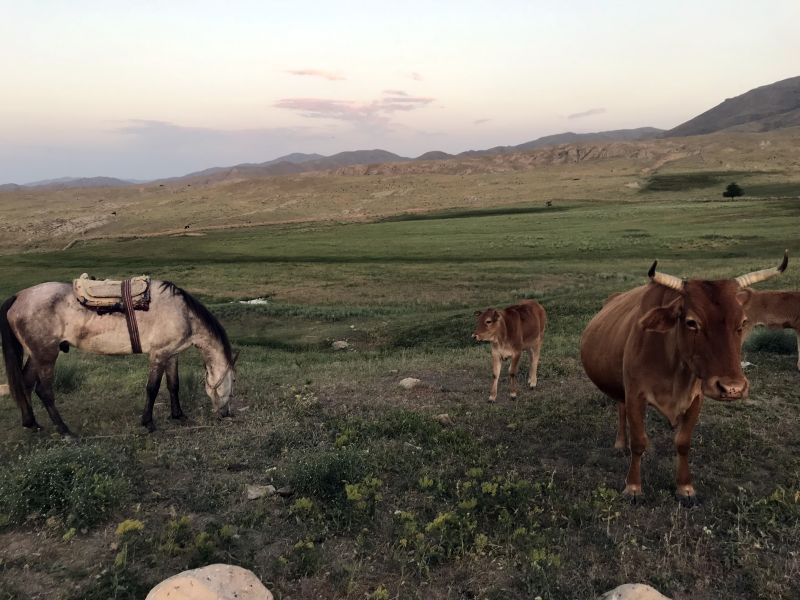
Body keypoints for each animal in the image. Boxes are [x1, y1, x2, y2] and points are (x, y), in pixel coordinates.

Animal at [0, 282, 238, 436]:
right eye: (233, 382)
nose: (226, 414)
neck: (182, 313)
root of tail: (19, 296)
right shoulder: (158, 355)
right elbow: (152, 389)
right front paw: (148, 423)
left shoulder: (171, 354)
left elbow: (174, 385)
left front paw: (178, 415)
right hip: (46, 355)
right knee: (44, 391)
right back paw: (64, 430)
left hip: (36, 355)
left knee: (25, 384)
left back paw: (32, 424)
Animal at [580, 251, 792, 504]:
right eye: (692, 322)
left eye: (742, 322)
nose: (732, 388)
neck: (674, 369)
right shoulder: (635, 395)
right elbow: (638, 442)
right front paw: (633, 486)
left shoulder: (696, 399)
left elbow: (683, 442)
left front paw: (685, 487)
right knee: (621, 410)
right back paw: (621, 442)